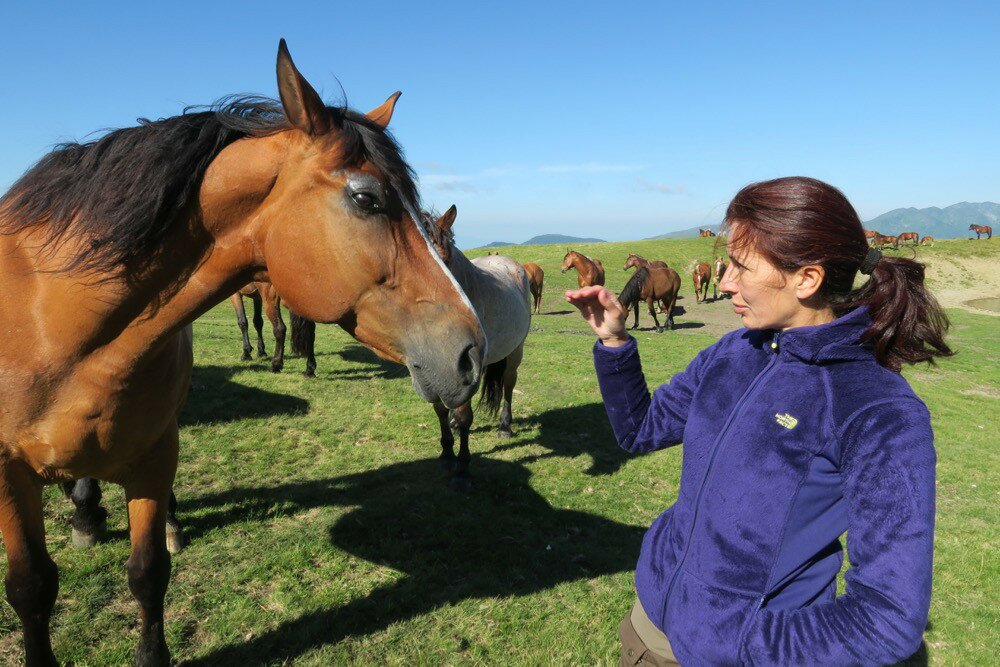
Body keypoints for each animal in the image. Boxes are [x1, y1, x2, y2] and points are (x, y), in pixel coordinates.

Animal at [0, 41, 484, 667]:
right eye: (367, 198)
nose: (472, 352)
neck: (54, 320)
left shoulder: (155, 455)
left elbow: (147, 572)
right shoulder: (9, 477)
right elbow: (31, 587)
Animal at [424, 209, 536, 490]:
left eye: (446, 261)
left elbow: (465, 415)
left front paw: (462, 469)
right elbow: (440, 409)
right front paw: (446, 453)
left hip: (514, 352)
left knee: (508, 384)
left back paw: (505, 426)